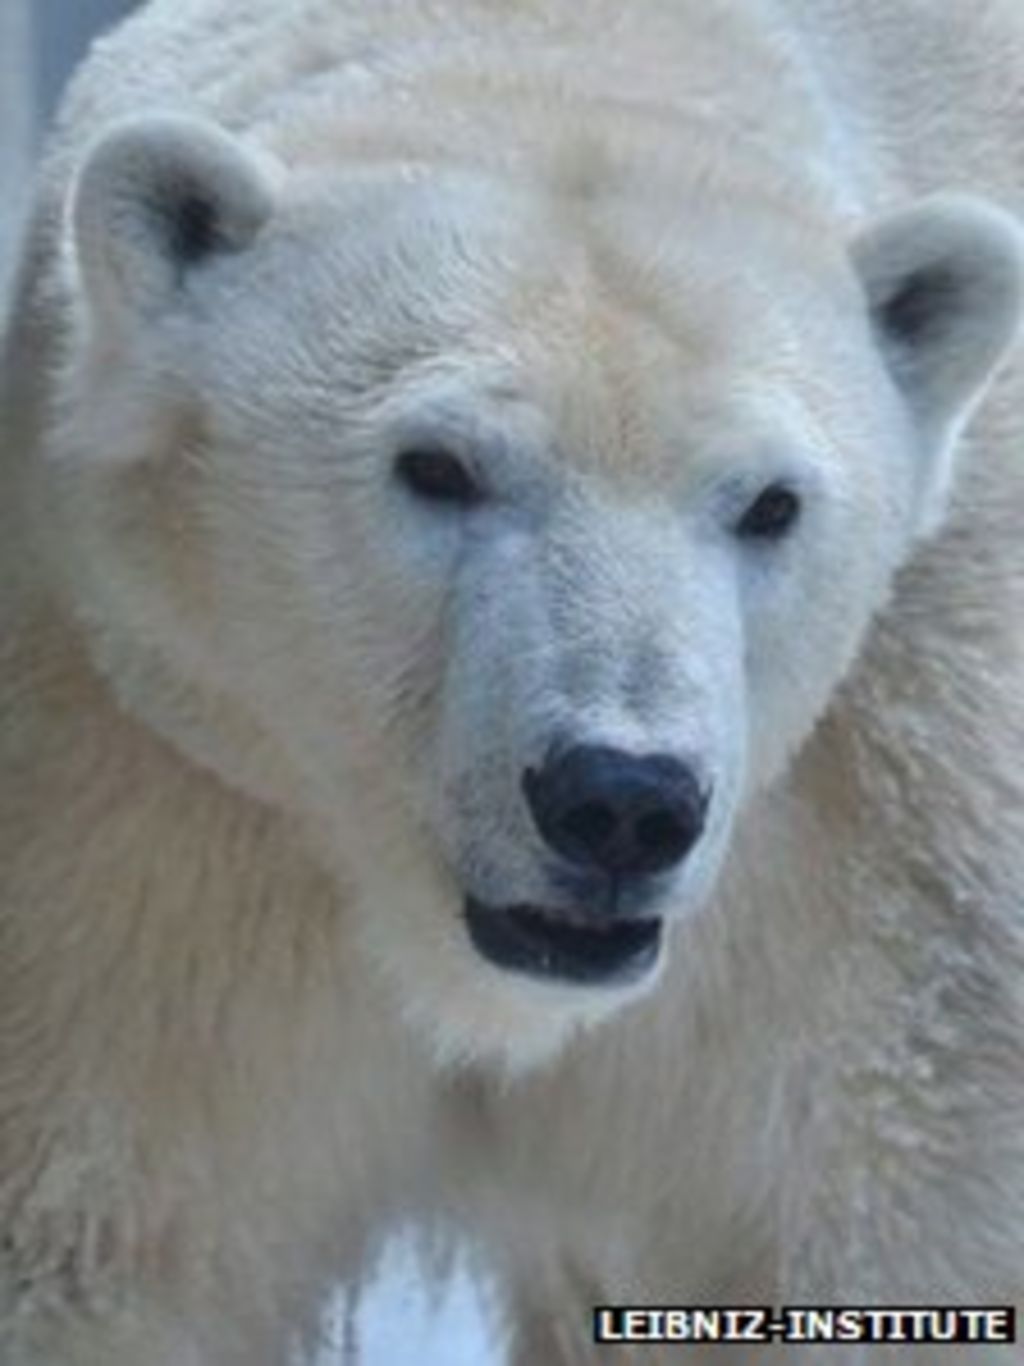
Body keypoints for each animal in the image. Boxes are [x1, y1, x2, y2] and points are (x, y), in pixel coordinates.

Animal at [2, 0, 1024, 1362]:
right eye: (436, 466)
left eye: (769, 502)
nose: (620, 800)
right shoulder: (154, 794)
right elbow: (101, 1237)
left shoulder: (892, 837)